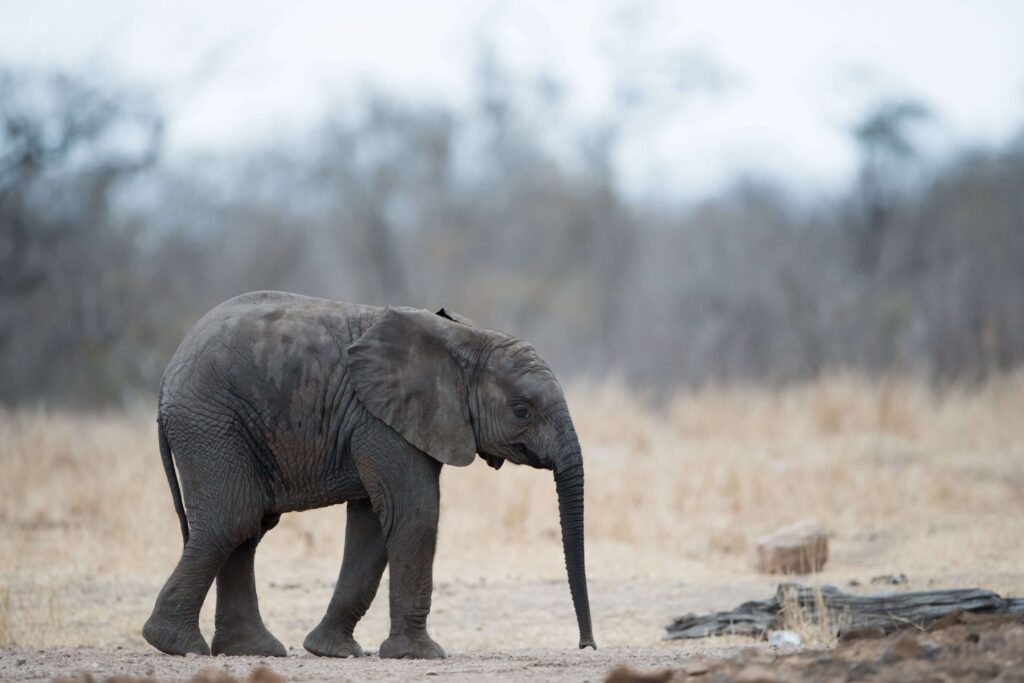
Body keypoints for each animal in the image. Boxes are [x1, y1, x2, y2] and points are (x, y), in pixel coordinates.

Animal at [142, 290, 595, 660]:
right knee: (233, 519)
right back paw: (177, 645)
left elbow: (375, 524)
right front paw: (420, 655)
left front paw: (331, 651)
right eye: (522, 411)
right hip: (212, 425)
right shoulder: (379, 420)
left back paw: (253, 650)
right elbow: (414, 511)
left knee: (247, 527)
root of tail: (165, 380)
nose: (587, 646)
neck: (465, 339)